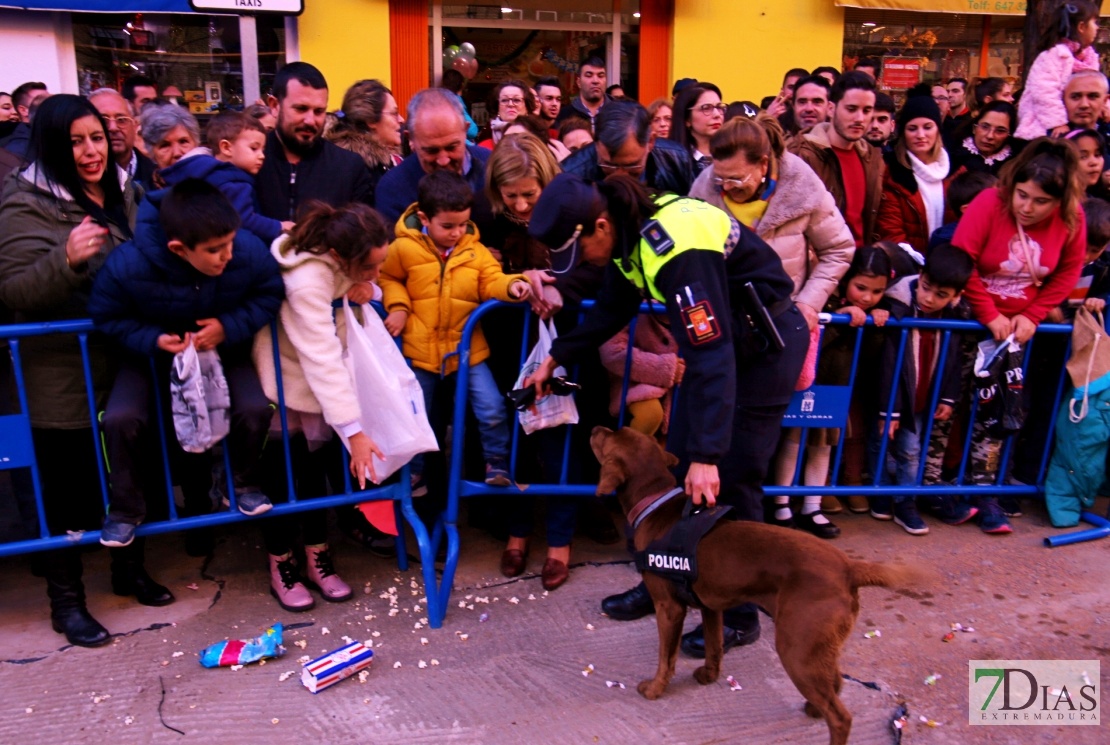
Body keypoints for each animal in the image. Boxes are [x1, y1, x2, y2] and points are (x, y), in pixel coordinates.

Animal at [590, 426, 919, 745]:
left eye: (611, 435)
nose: (594, 427)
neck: (655, 504)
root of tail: (850, 569)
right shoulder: (711, 606)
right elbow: (714, 646)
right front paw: (709, 675)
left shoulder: (669, 608)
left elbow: (665, 658)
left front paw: (655, 688)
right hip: (819, 644)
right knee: (835, 683)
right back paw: (814, 707)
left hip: (796, 646)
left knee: (840, 717)